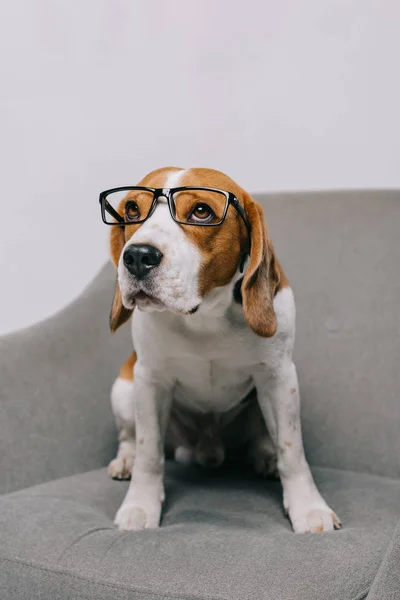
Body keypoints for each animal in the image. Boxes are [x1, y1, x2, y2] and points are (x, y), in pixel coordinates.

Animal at [106, 166, 340, 532]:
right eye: (132, 209)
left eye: (201, 211)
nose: (138, 256)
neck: (205, 316)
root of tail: (208, 444)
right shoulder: (150, 380)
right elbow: (149, 452)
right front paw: (140, 506)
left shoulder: (279, 378)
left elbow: (292, 451)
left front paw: (308, 508)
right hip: (124, 388)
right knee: (130, 436)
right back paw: (125, 460)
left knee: (265, 435)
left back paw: (265, 455)